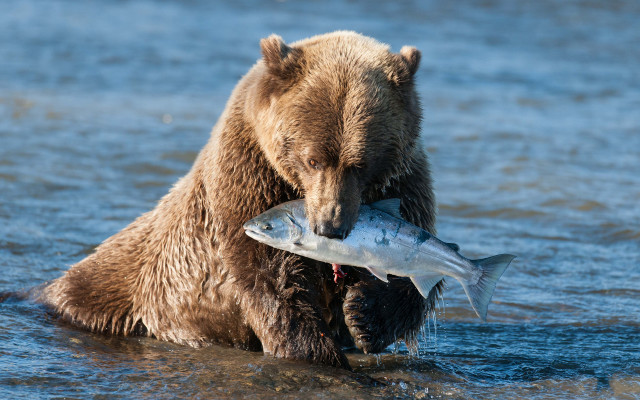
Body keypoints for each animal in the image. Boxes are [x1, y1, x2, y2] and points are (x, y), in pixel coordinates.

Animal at [39, 31, 440, 370]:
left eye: (361, 164)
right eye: (313, 159)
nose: (331, 226)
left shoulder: (404, 182)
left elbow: (415, 271)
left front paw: (362, 314)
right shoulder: (249, 175)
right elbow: (272, 275)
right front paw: (316, 351)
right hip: (124, 285)